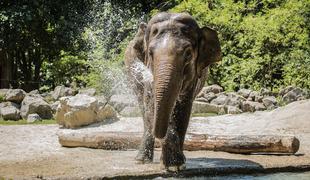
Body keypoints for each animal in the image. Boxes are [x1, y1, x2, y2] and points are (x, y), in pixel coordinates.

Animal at [123, 12, 220, 170]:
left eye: (188, 54)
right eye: (150, 53)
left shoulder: (193, 78)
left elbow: (183, 111)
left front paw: (176, 165)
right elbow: (151, 106)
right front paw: (173, 164)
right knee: (144, 109)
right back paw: (141, 160)